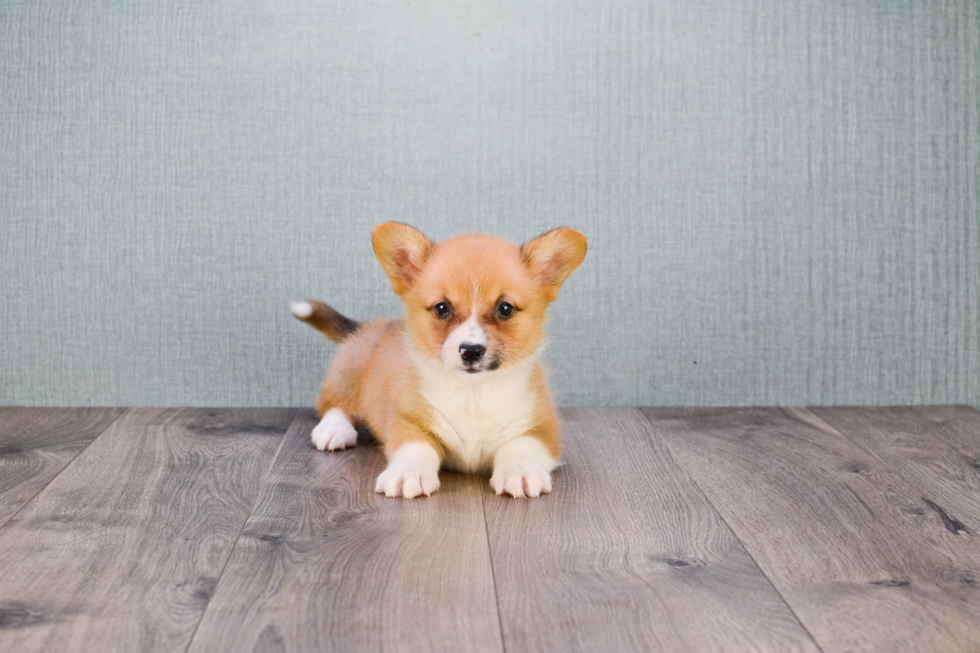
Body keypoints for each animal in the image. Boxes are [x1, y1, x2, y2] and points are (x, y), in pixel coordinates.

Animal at [288, 224, 584, 500]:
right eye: (442, 308)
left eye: (505, 308)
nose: (471, 351)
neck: (473, 392)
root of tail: (365, 328)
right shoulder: (407, 418)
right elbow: (416, 446)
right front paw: (408, 473)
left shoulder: (543, 427)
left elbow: (521, 445)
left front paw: (520, 471)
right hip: (349, 370)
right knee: (333, 404)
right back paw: (334, 430)